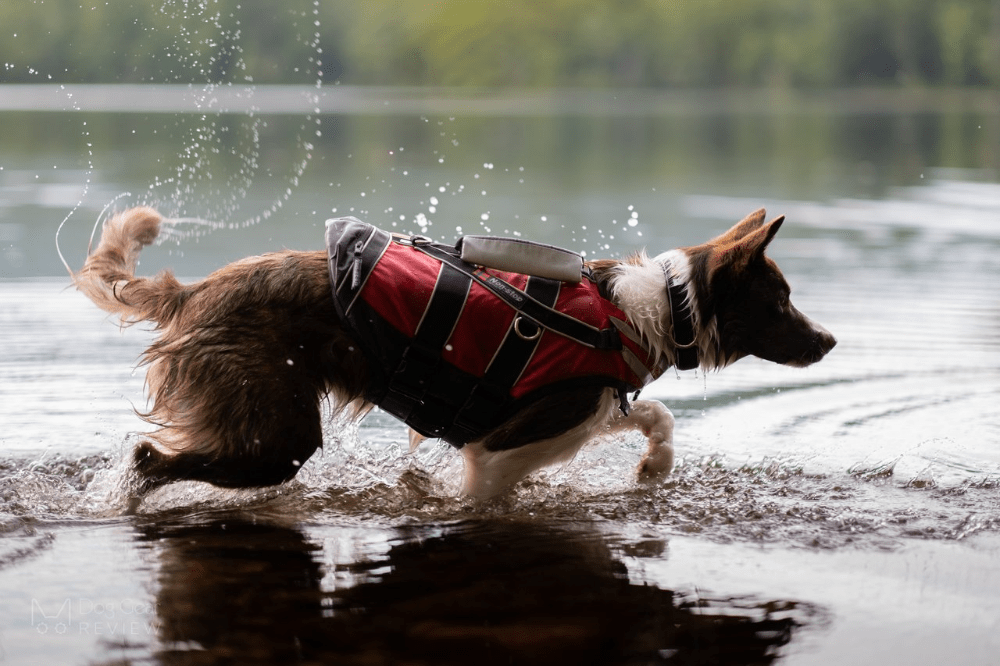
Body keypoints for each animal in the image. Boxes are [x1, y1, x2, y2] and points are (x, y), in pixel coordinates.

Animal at [72, 206, 836, 498]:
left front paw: (654, 466)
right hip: (278, 436)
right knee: (147, 459)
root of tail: (193, 291)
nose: (829, 341)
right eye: (779, 300)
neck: (640, 312)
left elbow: (656, 418)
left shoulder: (577, 408)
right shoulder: (502, 446)